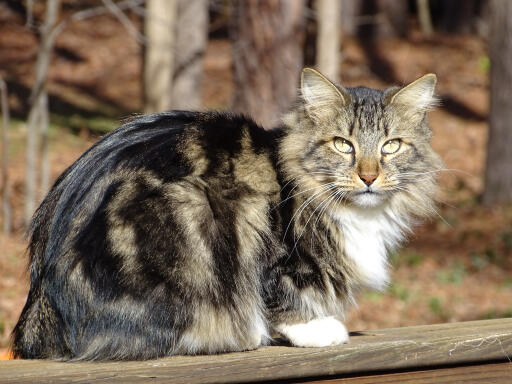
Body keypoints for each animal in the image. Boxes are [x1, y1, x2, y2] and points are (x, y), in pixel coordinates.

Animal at [11, 68, 440, 360]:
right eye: (343, 144)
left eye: (391, 146)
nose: (368, 176)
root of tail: (41, 303)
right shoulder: (277, 251)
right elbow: (280, 297)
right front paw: (315, 330)